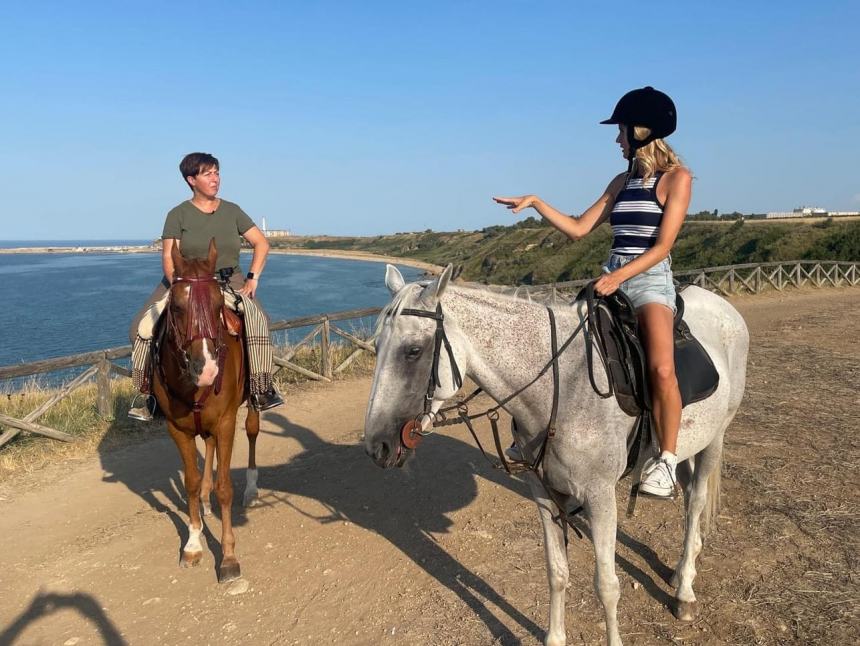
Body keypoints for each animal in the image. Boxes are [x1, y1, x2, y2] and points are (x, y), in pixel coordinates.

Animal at [155, 240, 260, 584]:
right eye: (176, 307)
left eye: (217, 306)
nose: (208, 370)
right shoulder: (177, 429)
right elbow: (189, 481)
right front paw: (192, 543)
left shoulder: (226, 422)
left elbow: (225, 487)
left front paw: (228, 557)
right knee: (209, 447)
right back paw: (204, 497)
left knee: (252, 431)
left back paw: (251, 489)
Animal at [362, 264, 744, 646]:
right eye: (377, 346)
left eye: (413, 351)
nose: (377, 445)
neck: (562, 389)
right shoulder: (545, 493)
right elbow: (556, 572)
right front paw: (555, 636)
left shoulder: (600, 496)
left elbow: (607, 586)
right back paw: (678, 572)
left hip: (716, 438)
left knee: (696, 503)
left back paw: (685, 592)